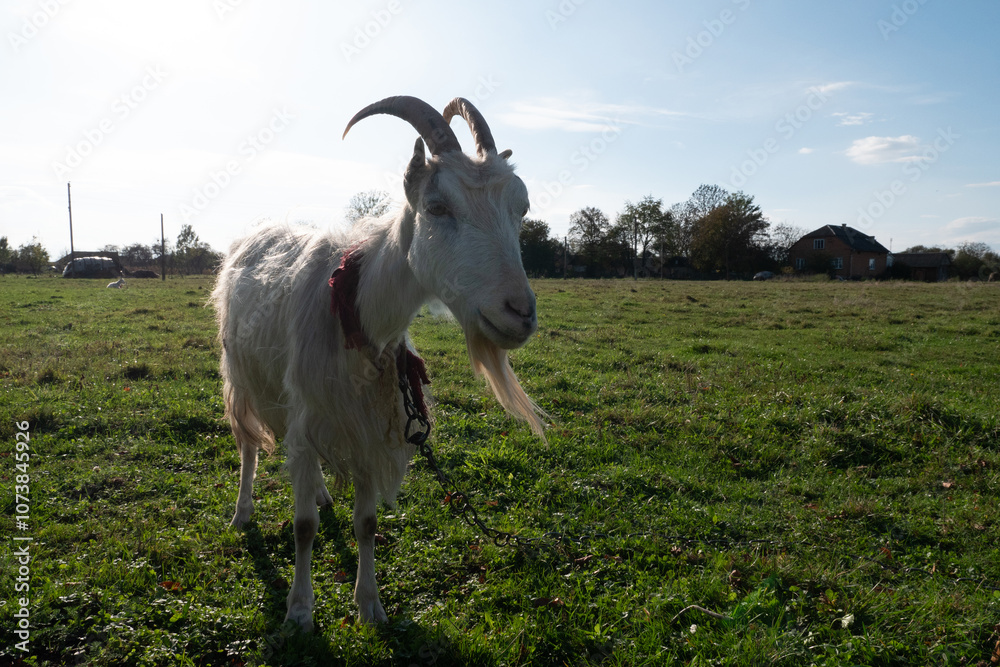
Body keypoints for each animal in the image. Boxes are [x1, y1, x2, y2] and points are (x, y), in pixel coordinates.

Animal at [211, 96, 545, 631]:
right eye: (436, 207)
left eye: (522, 208)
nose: (520, 313)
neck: (354, 306)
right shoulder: (311, 414)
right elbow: (303, 526)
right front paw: (299, 611)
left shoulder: (368, 425)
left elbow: (366, 524)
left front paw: (369, 604)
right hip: (242, 377)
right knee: (248, 445)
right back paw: (242, 513)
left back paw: (322, 493)